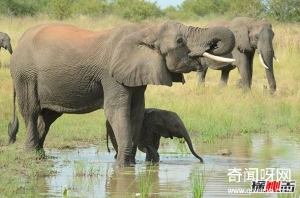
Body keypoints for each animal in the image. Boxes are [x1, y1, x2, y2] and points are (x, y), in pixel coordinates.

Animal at [8, 20, 236, 168]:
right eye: (180, 41)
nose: (213, 45)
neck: (145, 30)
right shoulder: (112, 76)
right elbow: (117, 111)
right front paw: (122, 167)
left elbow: (136, 112)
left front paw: (130, 164)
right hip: (25, 74)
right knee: (31, 111)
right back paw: (32, 156)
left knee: (47, 117)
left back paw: (41, 155)